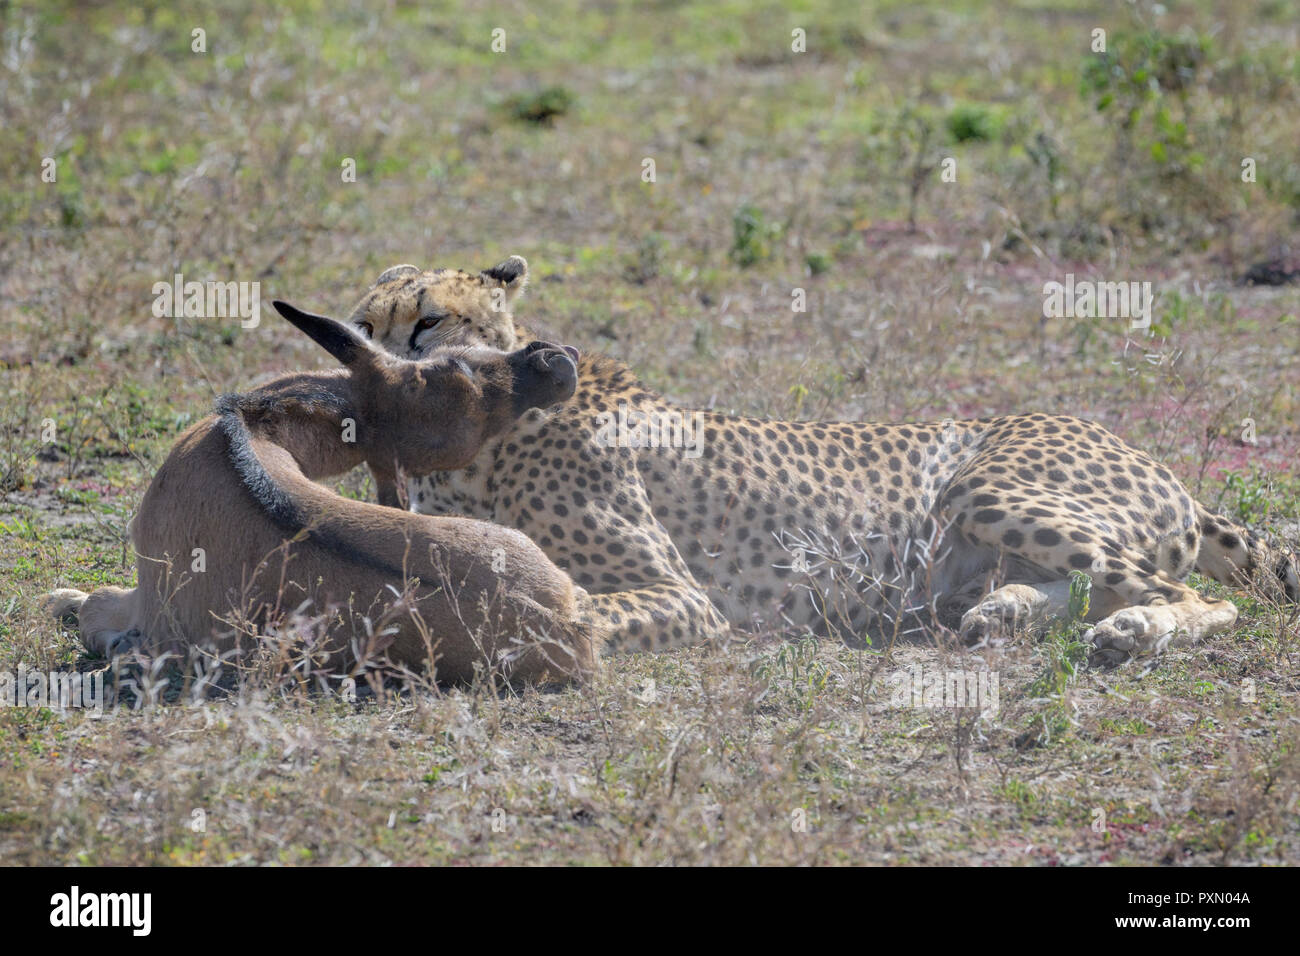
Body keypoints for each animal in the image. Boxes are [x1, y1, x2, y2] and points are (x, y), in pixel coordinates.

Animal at [345, 257, 1300, 660]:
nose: (380, 373)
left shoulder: (682, 596)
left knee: (1196, 598)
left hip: (982, 484)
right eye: (361, 323)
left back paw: (1130, 631)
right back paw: (1009, 611)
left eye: (427, 321)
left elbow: (556, 614)